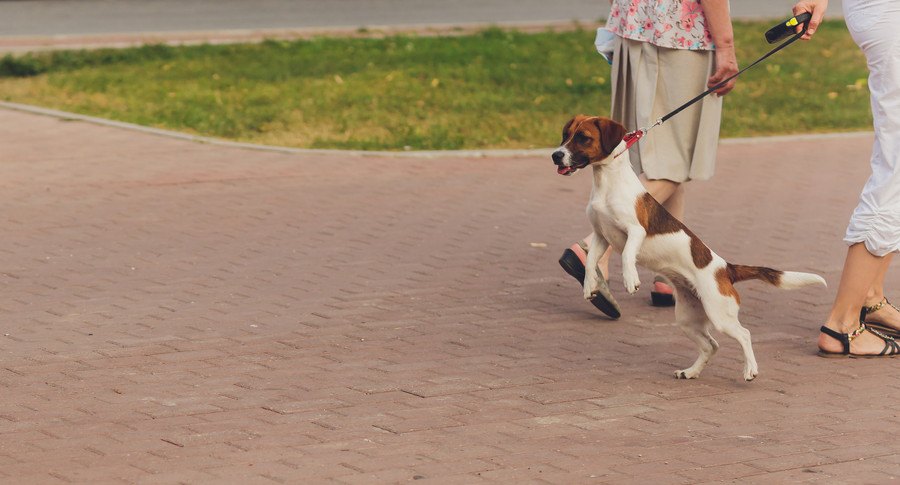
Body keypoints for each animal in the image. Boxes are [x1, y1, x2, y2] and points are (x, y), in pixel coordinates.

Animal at [552, 115, 828, 380]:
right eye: (566, 135)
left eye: (583, 138)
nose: (556, 155)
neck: (608, 183)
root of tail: (726, 268)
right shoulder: (601, 236)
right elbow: (590, 262)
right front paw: (589, 285)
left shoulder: (635, 231)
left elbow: (628, 254)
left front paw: (631, 279)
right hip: (688, 318)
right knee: (711, 346)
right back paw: (691, 372)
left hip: (720, 314)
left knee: (744, 334)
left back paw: (750, 369)